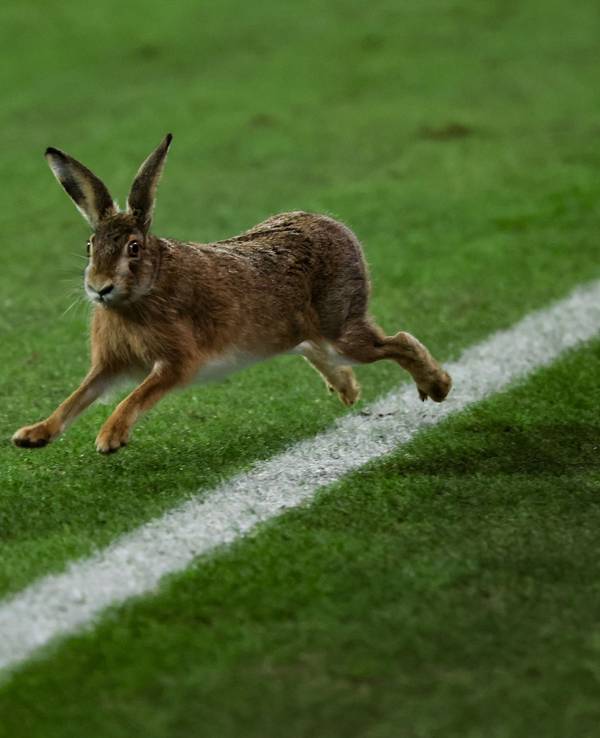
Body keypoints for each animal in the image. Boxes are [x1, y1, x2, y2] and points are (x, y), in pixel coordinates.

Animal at [12, 134, 452, 454]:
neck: (145, 290)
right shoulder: (110, 364)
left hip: (340, 325)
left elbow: (137, 395)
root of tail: (335, 227)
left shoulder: (177, 362)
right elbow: (77, 397)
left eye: (133, 248)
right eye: (90, 246)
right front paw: (33, 434)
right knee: (315, 348)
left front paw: (109, 437)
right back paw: (348, 390)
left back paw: (438, 386)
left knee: (397, 341)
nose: (99, 287)